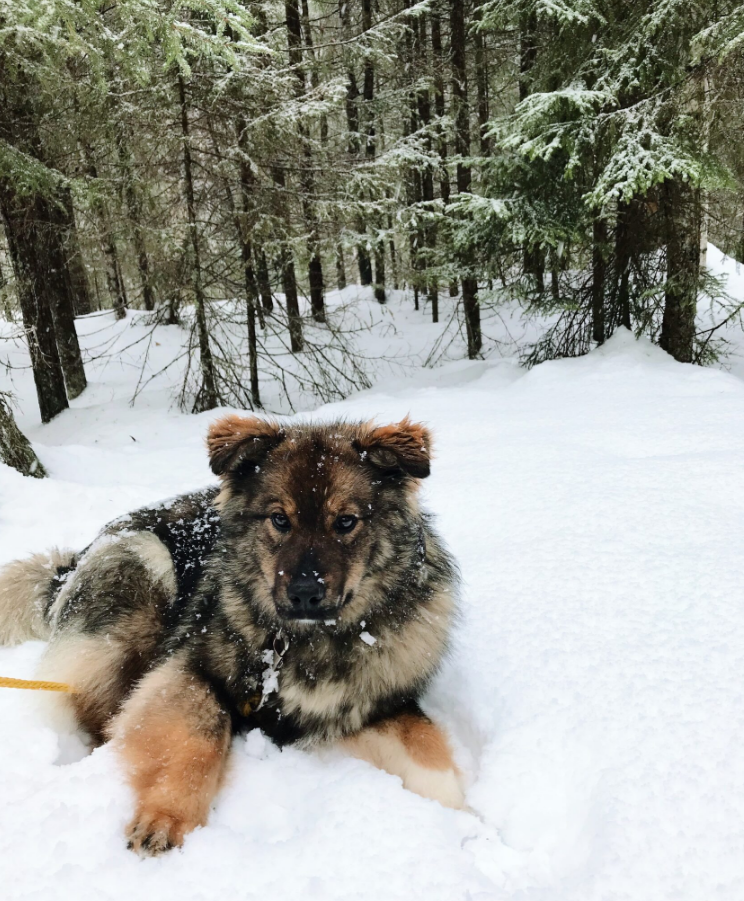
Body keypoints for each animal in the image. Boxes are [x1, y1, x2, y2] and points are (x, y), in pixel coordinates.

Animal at [0, 415, 463, 854]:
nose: (305, 593)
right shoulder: (188, 668)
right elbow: (200, 734)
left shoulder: (377, 703)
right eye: (280, 519)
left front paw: (468, 825)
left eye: (346, 521)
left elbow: (428, 748)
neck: (307, 642)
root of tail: (69, 566)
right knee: (95, 706)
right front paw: (167, 815)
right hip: (138, 579)